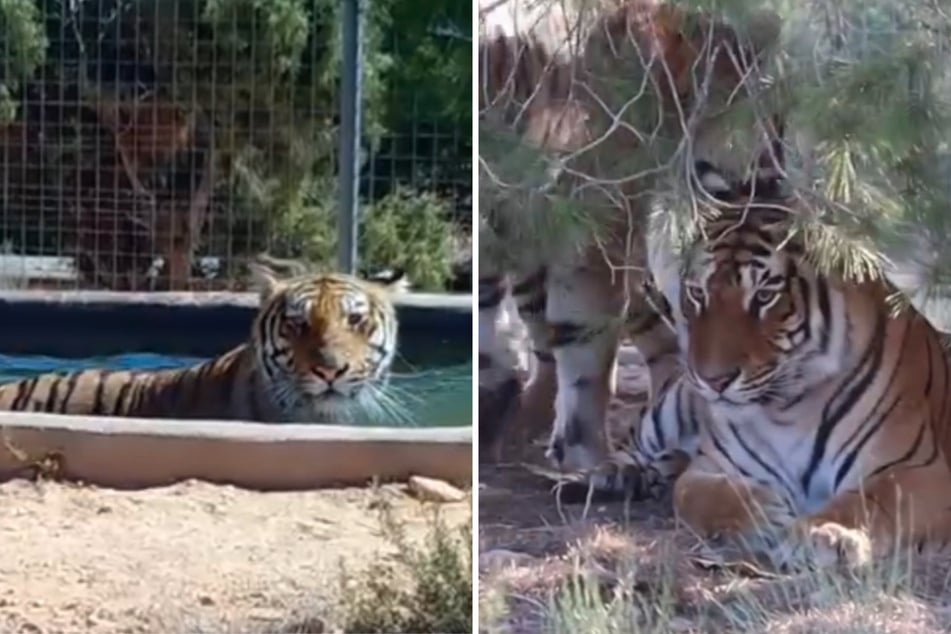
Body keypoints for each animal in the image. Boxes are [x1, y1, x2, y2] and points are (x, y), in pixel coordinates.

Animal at [620, 157, 951, 572]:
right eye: (698, 293)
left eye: (764, 296)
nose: (713, 380)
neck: (788, 409)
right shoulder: (711, 467)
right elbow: (701, 495)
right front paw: (768, 513)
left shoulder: (921, 469)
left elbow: (874, 498)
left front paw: (826, 533)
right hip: (670, 409)